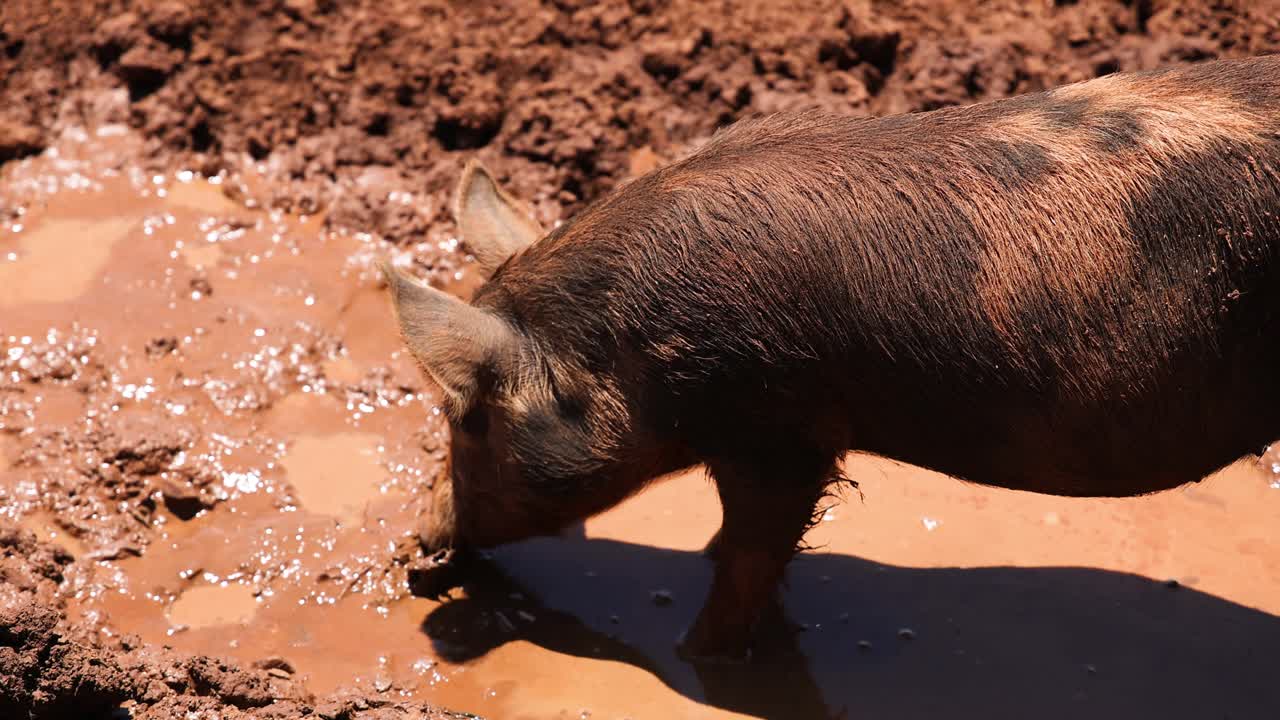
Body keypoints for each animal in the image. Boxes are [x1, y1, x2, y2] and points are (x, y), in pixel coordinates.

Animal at [383, 54, 1280, 660]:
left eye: (463, 419)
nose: (415, 546)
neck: (633, 355)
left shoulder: (777, 428)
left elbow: (752, 551)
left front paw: (697, 657)